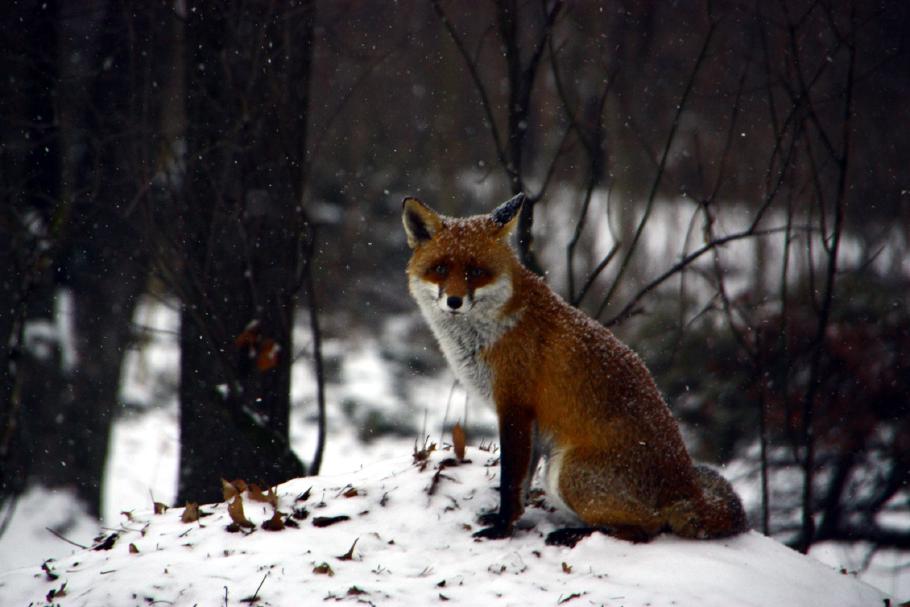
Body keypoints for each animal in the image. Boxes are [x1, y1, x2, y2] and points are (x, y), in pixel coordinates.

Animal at [402, 193, 747, 544]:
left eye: (475, 271)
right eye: (441, 268)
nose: (454, 301)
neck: (491, 331)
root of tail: (687, 484)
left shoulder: (514, 406)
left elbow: (511, 480)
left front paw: (501, 528)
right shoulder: (529, 423)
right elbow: (520, 486)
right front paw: (510, 519)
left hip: (564, 472)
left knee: (647, 528)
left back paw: (573, 535)